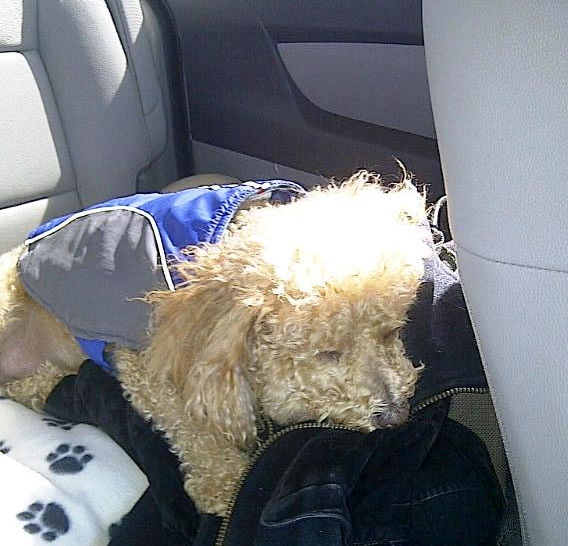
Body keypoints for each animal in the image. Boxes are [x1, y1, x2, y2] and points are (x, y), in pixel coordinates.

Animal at [0, 171, 429, 515]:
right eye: (327, 353)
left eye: (390, 332)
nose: (396, 416)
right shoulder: (146, 360)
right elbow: (189, 424)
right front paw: (227, 484)